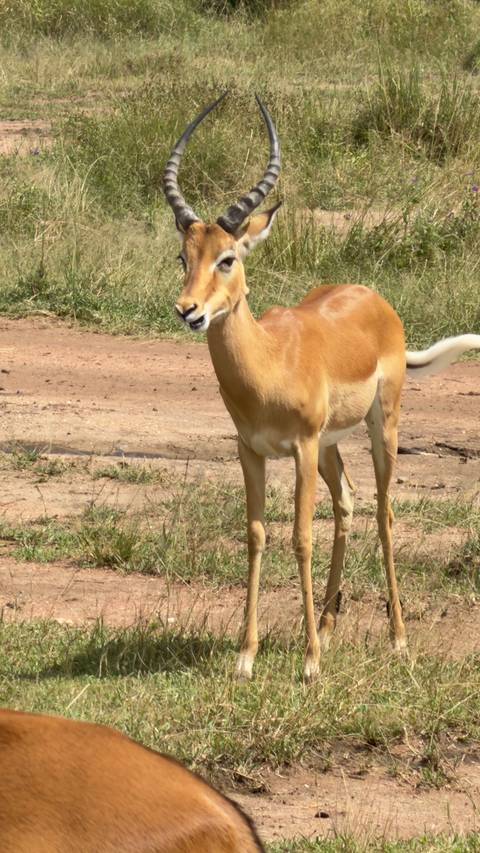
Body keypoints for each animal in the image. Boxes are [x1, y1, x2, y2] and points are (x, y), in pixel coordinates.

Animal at [163, 93, 480, 682]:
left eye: (228, 258)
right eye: (183, 257)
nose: (188, 311)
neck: (269, 364)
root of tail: (376, 300)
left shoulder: (302, 448)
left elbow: (300, 537)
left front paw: (308, 664)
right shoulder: (251, 450)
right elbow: (257, 534)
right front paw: (246, 656)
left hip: (380, 427)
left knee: (383, 513)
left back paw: (397, 638)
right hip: (333, 444)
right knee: (348, 503)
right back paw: (330, 628)